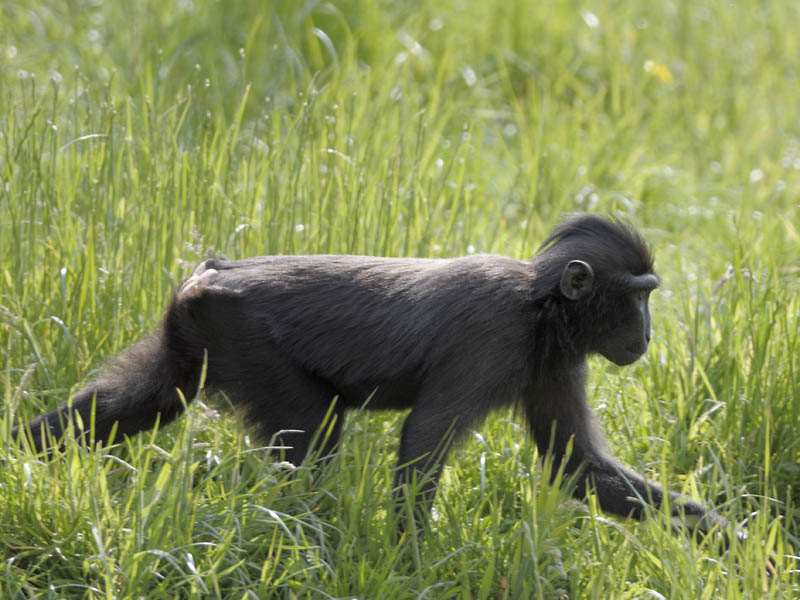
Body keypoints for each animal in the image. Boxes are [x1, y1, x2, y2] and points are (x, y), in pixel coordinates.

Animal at [11, 213, 727, 537]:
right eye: (639, 296)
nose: (648, 334)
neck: (541, 304)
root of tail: (211, 275)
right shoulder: (492, 337)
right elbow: (423, 443)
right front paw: (411, 561)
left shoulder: (555, 361)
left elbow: (577, 467)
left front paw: (743, 548)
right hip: (245, 339)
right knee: (313, 439)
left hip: (191, 341)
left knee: (140, 402)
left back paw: (18, 459)